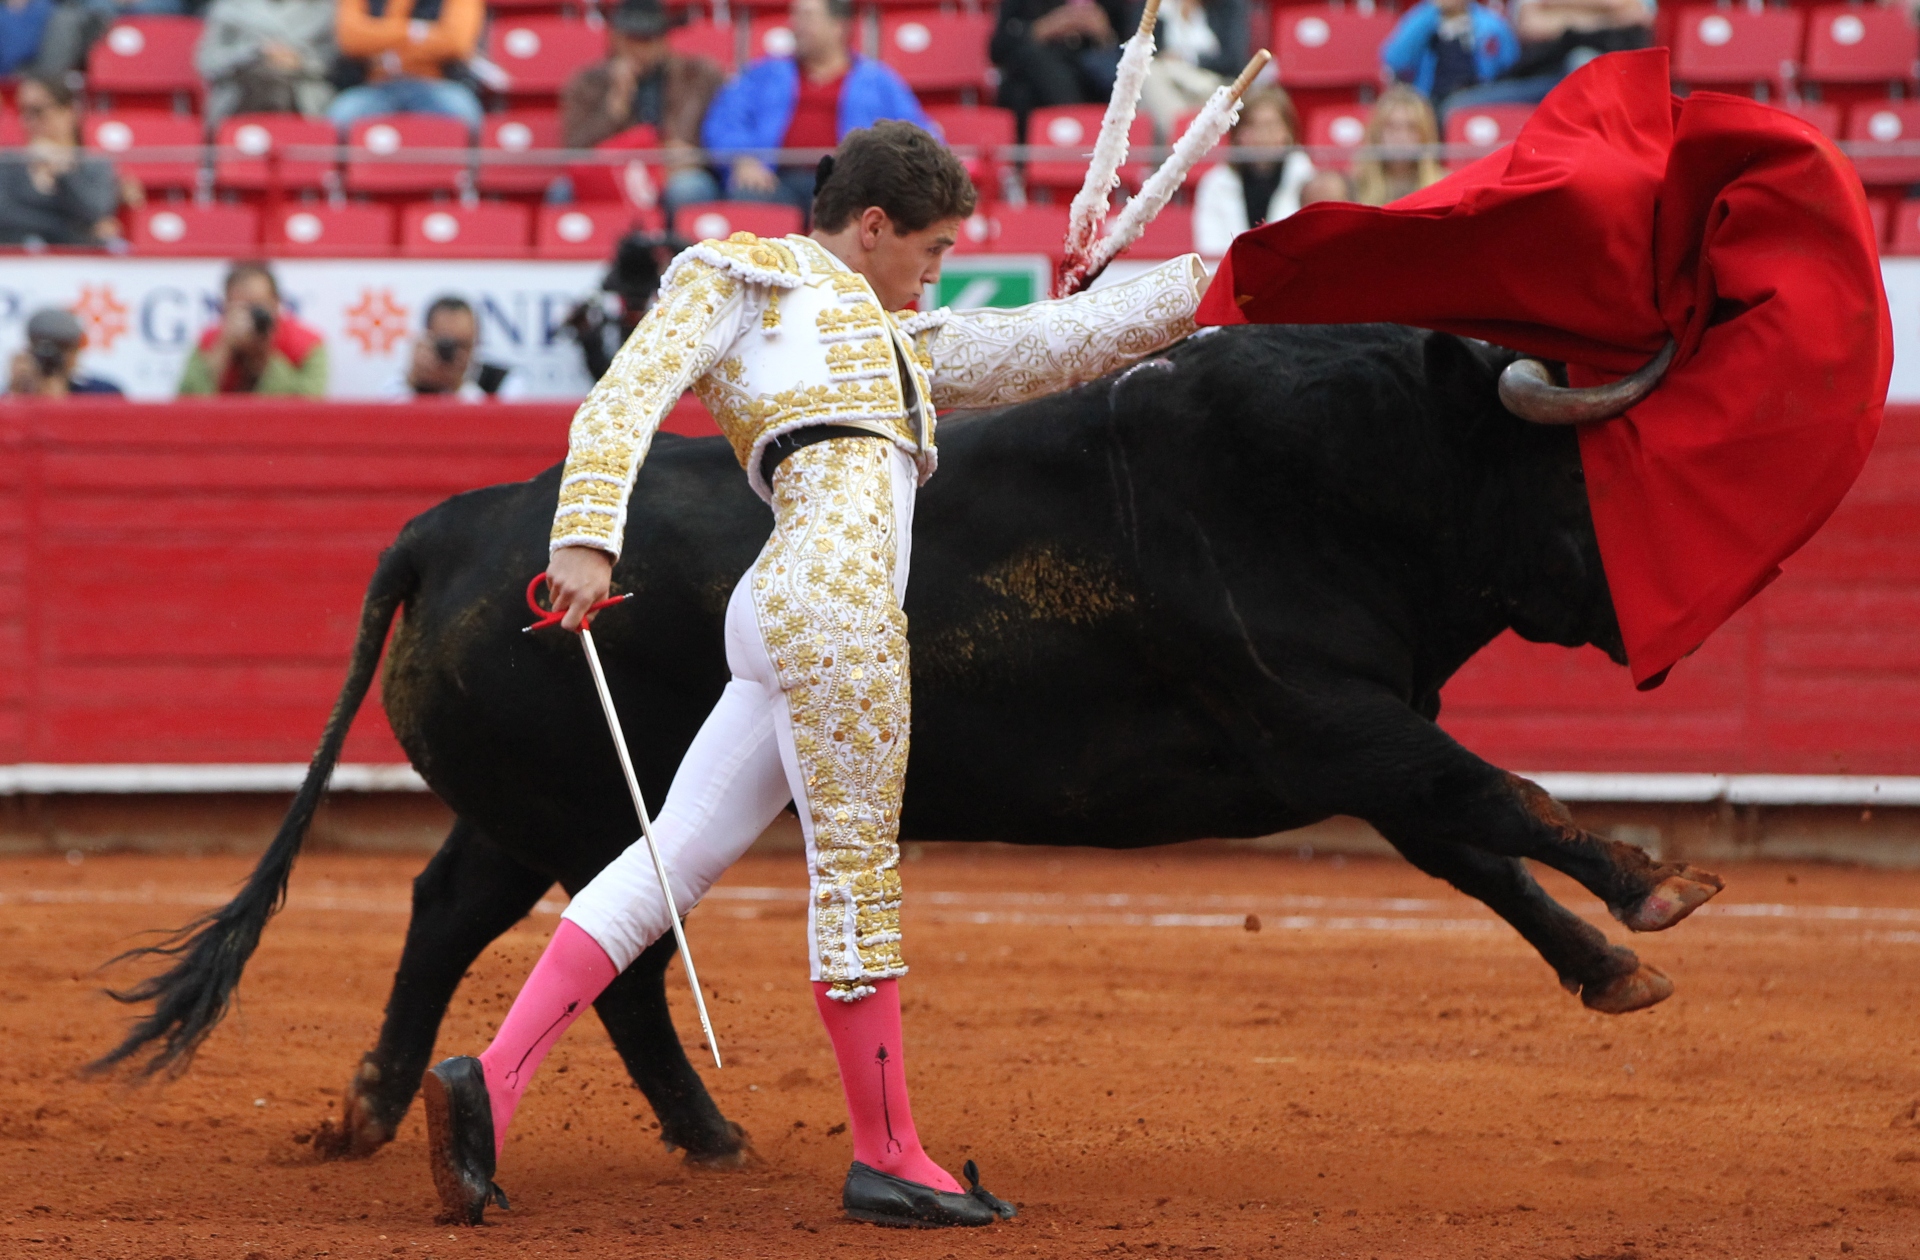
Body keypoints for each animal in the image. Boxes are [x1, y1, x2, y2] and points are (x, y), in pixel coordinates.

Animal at [93, 324, 1728, 1167]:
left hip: (533, 806)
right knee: (612, 959)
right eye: (1582, 472)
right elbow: (1496, 797)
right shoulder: (1333, 716)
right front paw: (1654, 888)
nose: (1673, 610)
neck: (1334, 470)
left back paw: (390, 1109)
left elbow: (1475, 847)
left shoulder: (1356, 740)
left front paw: (1616, 963)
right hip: (588, 806)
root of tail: (453, 525)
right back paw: (683, 1131)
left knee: (457, 912)